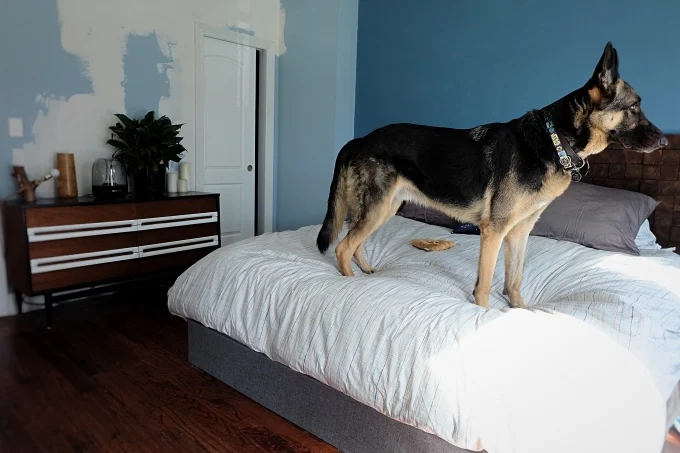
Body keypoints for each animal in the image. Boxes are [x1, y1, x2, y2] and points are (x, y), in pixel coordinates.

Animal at [316, 42, 668, 308]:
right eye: (634, 108)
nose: (664, 141)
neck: (555, 140)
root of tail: (360, 140)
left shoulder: (519, 233)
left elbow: (514, 280)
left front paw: (520, 311)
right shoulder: (494, 232)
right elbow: (485, 284)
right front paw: (482, 315)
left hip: (386, 209)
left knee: (355, 242)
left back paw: (367, 272)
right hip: (378, 209)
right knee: (342, 247)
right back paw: (349, 284)